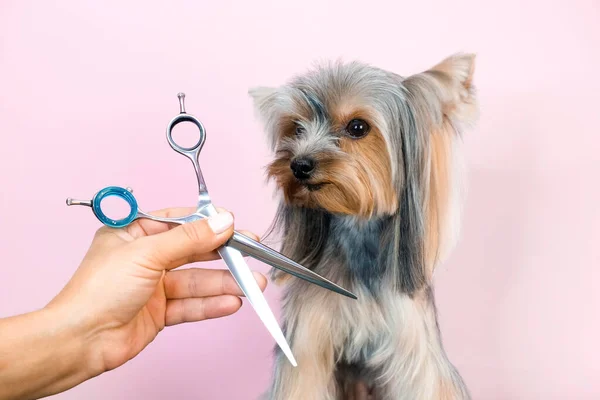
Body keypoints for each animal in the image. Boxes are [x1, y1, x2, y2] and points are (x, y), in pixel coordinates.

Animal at [248, 53, 478, 400]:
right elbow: (302, 380)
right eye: (297, 128)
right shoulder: (308, 341)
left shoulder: (412, 347)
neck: (358, 236)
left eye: (358, 127)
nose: (299, 165)